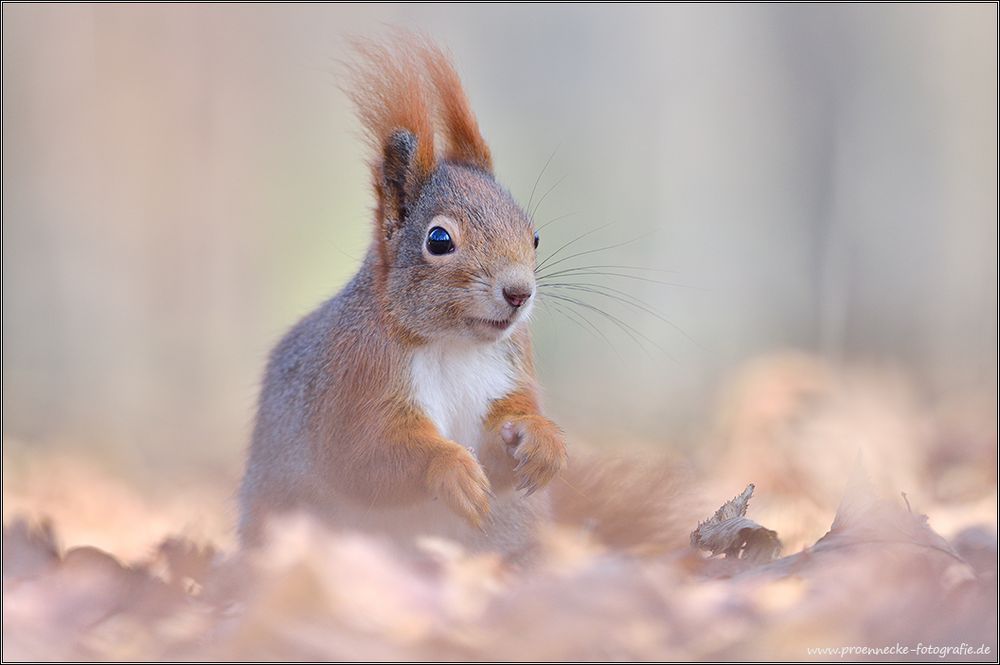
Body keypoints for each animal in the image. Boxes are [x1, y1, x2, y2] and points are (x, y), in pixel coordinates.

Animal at [237, 37, 568, 556]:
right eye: (439, 240)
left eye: (534, 237)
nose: (519, 292)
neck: (453, 345)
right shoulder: (354, 379)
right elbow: (362, 458)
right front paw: (450, 468)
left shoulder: (510, 370)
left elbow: (506, 439)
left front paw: (540, 439)